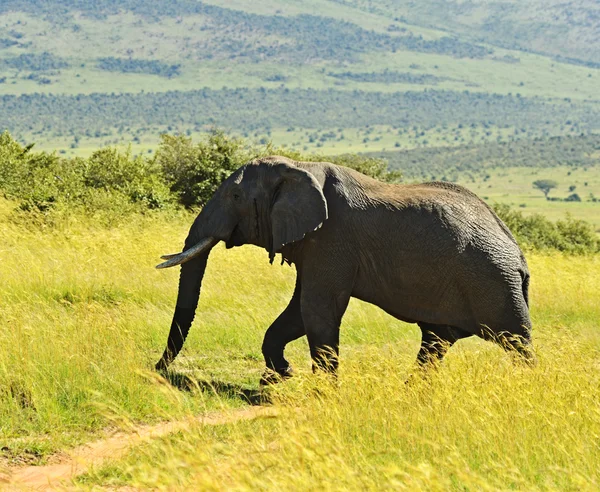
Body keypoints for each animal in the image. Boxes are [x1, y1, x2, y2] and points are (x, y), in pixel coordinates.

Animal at [156, 156, 536, 382]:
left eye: (235, 198)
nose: (156, 369)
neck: (296, 166)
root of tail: (518, 254)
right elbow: (298, 312)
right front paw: (280, 377)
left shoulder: (331, 239)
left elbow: (316, 309)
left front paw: (321, 395)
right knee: (435, 342)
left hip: (492, 282)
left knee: (517, 342)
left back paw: (528, 390)